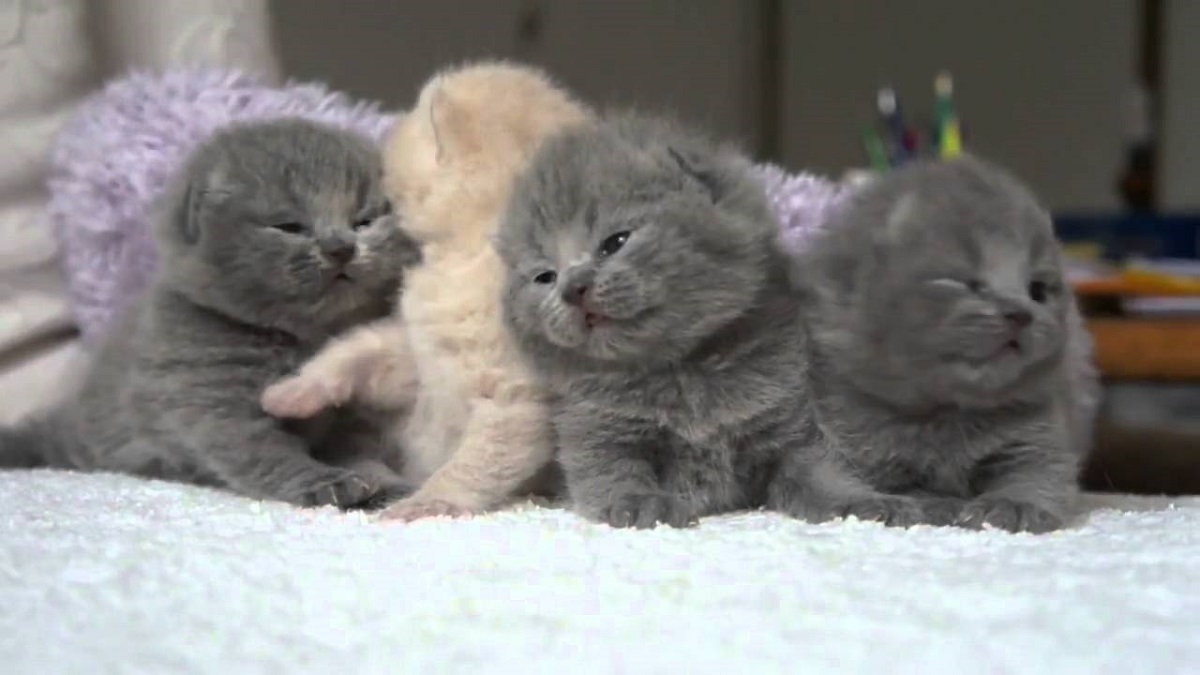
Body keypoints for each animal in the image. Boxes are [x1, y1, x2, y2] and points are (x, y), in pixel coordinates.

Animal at [0, 118, 422, 506]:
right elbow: (263, 450)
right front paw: (322, 482)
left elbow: (361, 451)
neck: (304, 336)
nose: (341, 248)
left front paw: (389, 486)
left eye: (364, 221)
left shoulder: (348, 410)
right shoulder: (209, 398)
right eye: (288, 225)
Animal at [260, 60, 588, 516]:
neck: (467, 259)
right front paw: (293, 391)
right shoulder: (417, 361)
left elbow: (475, 463)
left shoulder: (517, 399)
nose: (382, 141)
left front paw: (428, 502)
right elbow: (356, 351)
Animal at [492, 112, 811, 528]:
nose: (573, 287)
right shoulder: (593, 424)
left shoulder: (782, 414)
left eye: (615, 242)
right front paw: (638, 504)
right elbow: (610, 471)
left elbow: (813, 467)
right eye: (545, 276)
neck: (678, 371)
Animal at [772, 153, 1099, 530]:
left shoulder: (1039, 436)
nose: (1020, 313)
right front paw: (922, 505)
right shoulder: (837, 437)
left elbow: (1041, 474)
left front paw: (1014, 507)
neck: (948, 416)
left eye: (1038, 291)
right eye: (964, 282)